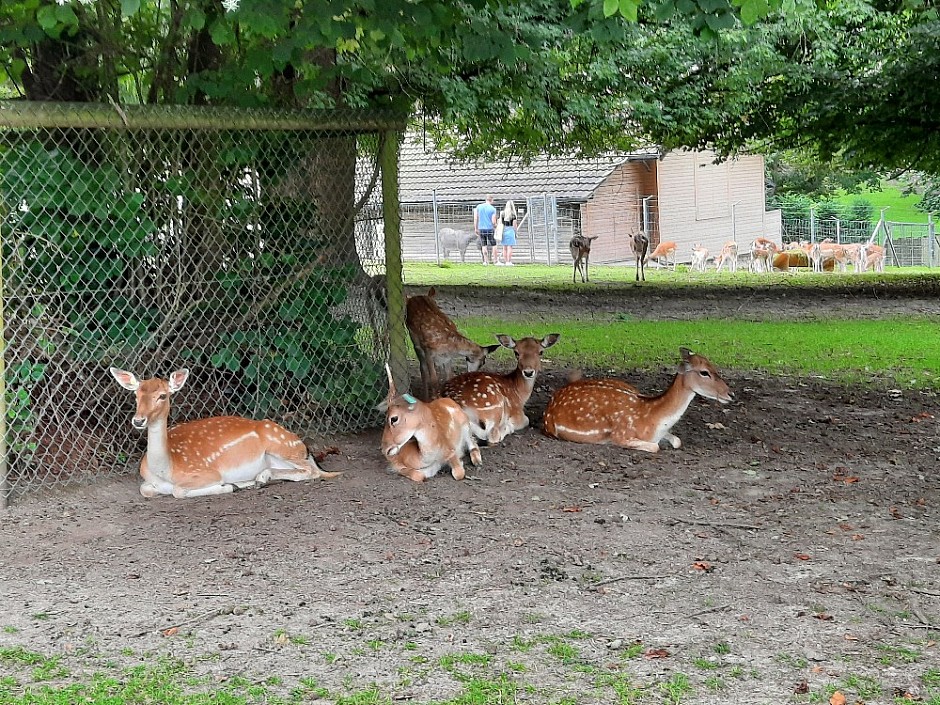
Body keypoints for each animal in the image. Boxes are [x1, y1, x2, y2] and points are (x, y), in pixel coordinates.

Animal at [110, 366, 338, 498]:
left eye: (163, 396)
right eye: (136, 394)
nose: (138, 420)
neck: (165, 469)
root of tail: (303, 446)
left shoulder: (208, 472)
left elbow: (178, 491)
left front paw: (229, 486)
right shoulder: (148, 482)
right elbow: (145, 490)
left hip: (283, 446)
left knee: (313, 471)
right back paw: (260, 479)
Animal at [544, 346, 736, 452]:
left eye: (713, 365)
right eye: (704, 372)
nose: (731, 394)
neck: (652, 420)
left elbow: (677, 441)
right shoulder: (621, 435)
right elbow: (655, 447)